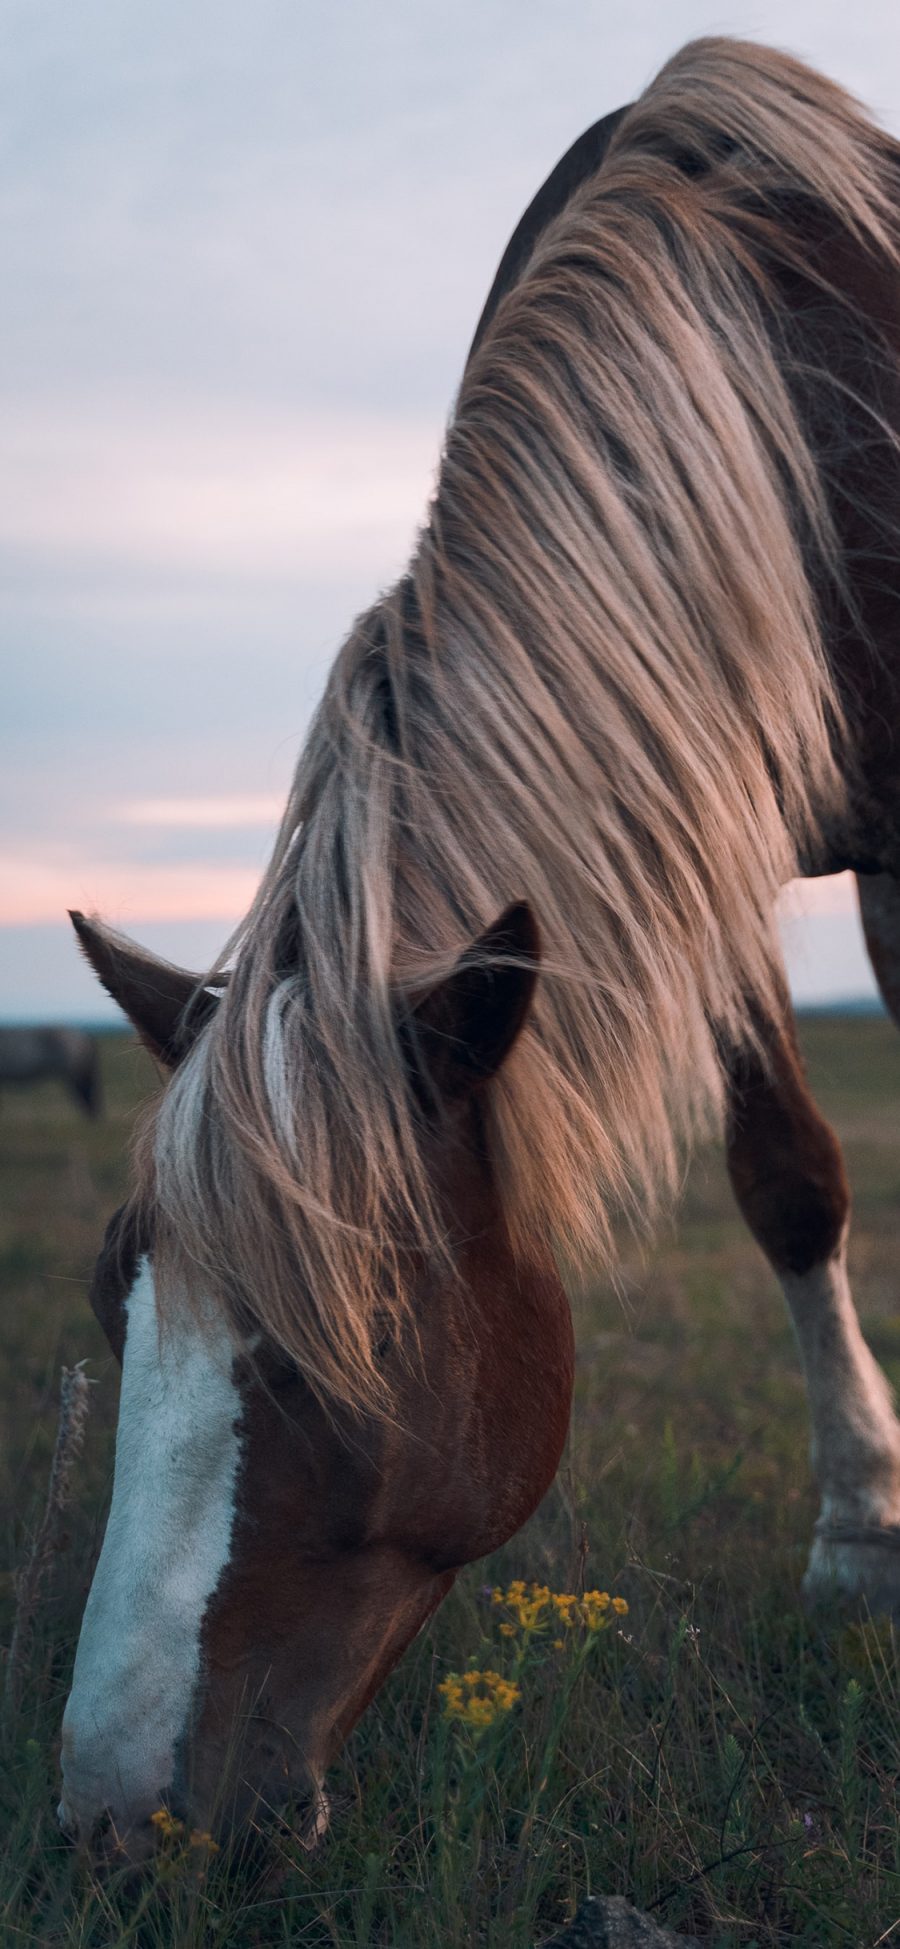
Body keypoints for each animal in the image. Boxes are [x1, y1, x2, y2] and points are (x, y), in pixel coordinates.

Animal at [56, 34, 900, 1855]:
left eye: (329, 1363)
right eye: (111, 1301)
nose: (108, 1820)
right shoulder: (692, 825)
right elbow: (787, 1178)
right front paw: (865, 1537)